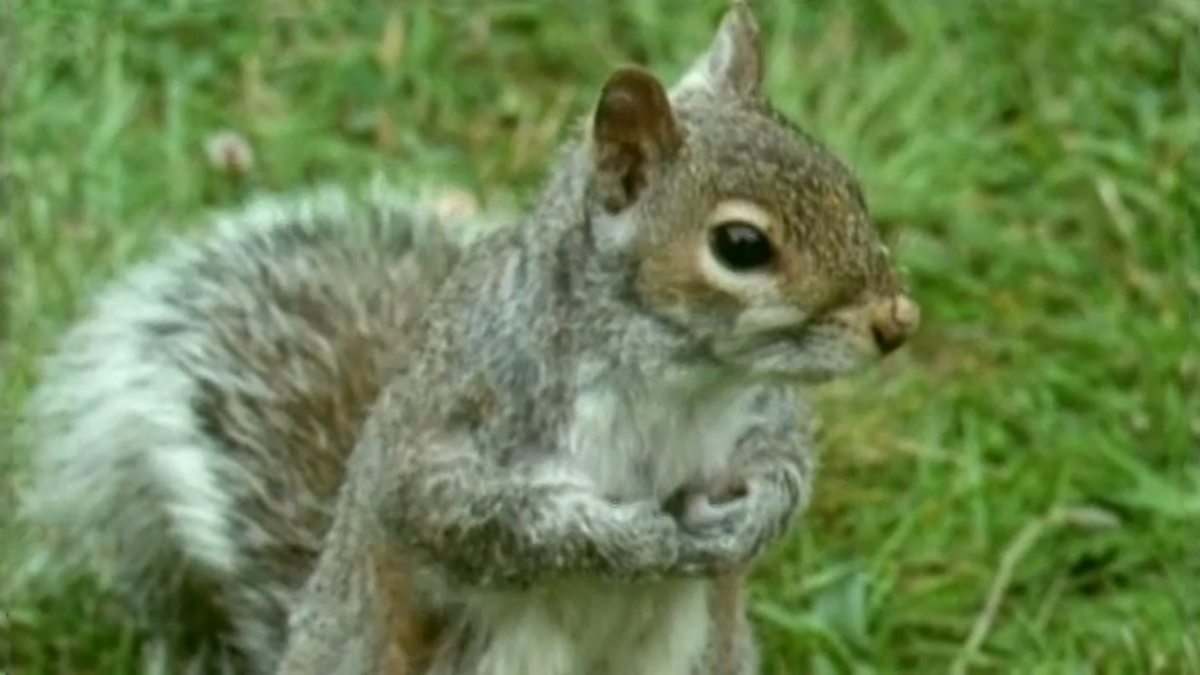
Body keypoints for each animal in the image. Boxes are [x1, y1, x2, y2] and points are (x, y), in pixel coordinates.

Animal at [18, 3, 920, 674]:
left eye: (846, 180)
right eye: (740, 245)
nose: (894, 322)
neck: (678, 377)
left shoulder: (762, 405)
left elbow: (785, 458)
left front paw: (752, 516)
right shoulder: (462, 416)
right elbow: (466, 512)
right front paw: (625, 537)